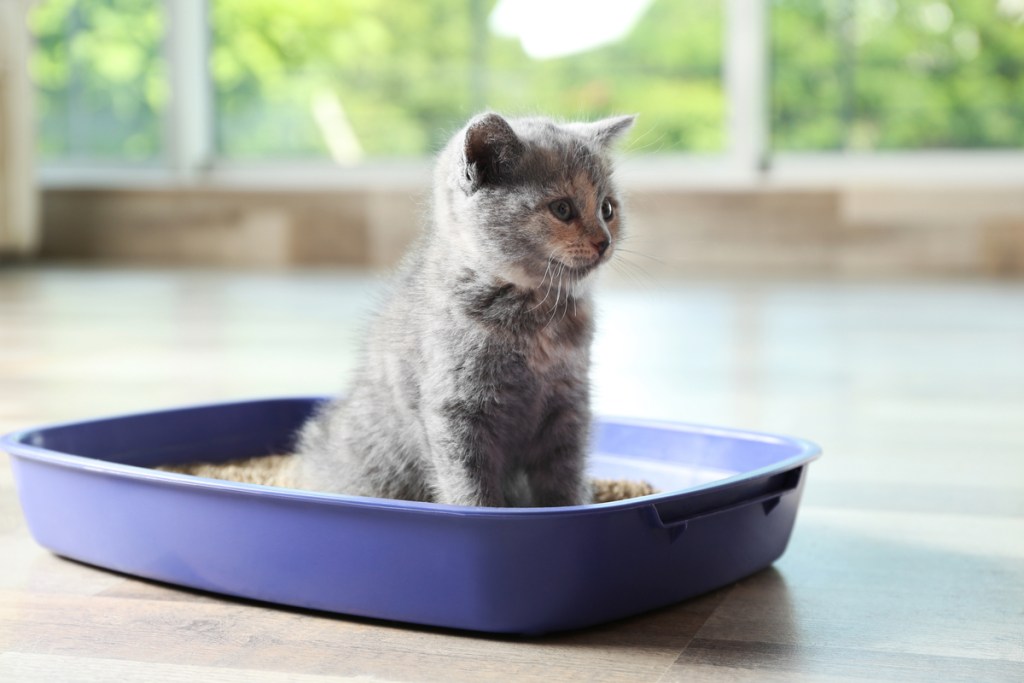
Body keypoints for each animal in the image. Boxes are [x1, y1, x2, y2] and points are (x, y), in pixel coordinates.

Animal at [292, 112, 634, 507]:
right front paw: (480, 511)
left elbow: (565, 478)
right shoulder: (457, 410)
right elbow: (470, 483)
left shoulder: (568, 406)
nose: (603, 242)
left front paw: (568, 508)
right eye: (562, 209)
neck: (537, 315)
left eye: (607, 209)